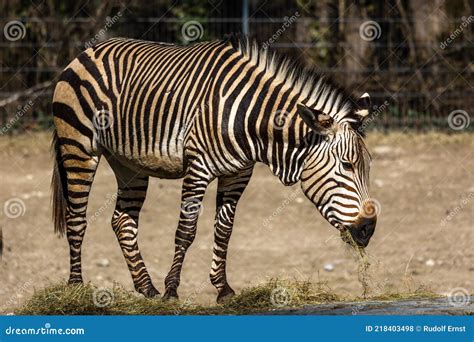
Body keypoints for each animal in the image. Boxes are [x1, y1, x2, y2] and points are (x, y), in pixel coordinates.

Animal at [51, 35, 378, 302]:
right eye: (347, 165)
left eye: (367, 167)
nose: (368, 230)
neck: (250, 119)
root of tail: (88, 50)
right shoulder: (198, 167)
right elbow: (186, 230)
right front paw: (172, 290)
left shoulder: (238, 174)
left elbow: (224, 230)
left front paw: (223, 289)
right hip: (78, 147)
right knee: (77, 218)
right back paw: (77, 288)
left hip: (129, 163)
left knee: (123, 221)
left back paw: (146, 288)